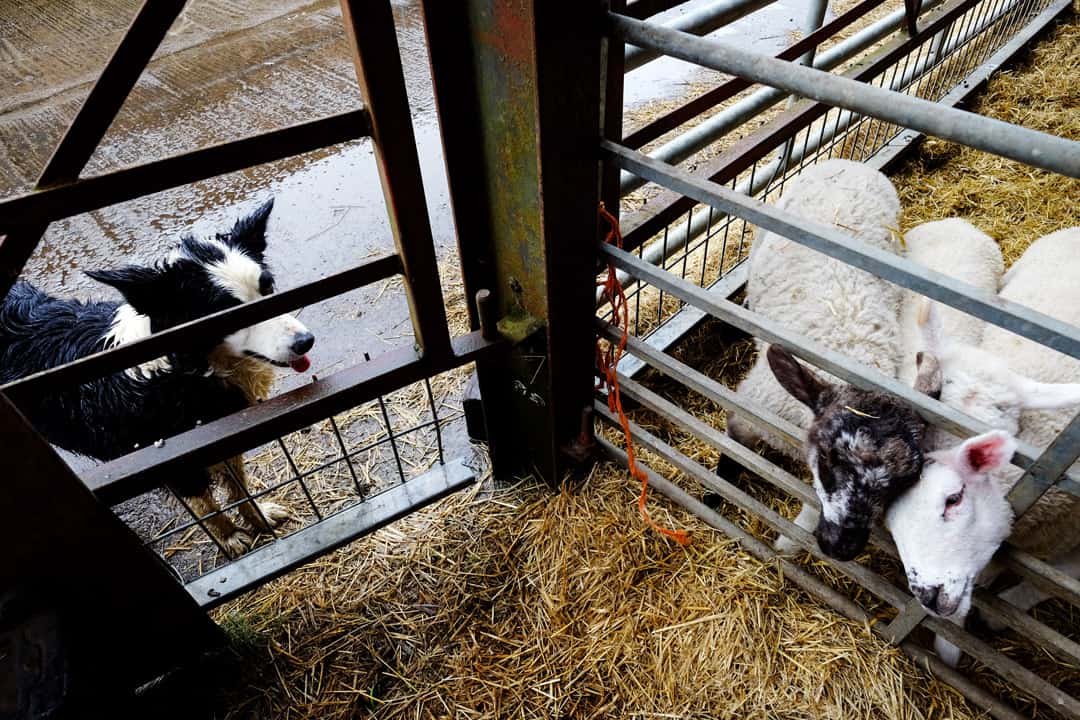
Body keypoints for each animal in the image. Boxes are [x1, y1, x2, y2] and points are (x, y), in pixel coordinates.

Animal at [3, 199, 315, 557]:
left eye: (268, 287)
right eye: (228, 312)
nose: (306, 341)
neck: (181, 370)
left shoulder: (225, 434)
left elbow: (240, 488)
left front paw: (259, 517)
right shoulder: (178, 463)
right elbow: (207, 507)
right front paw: (230, 538)